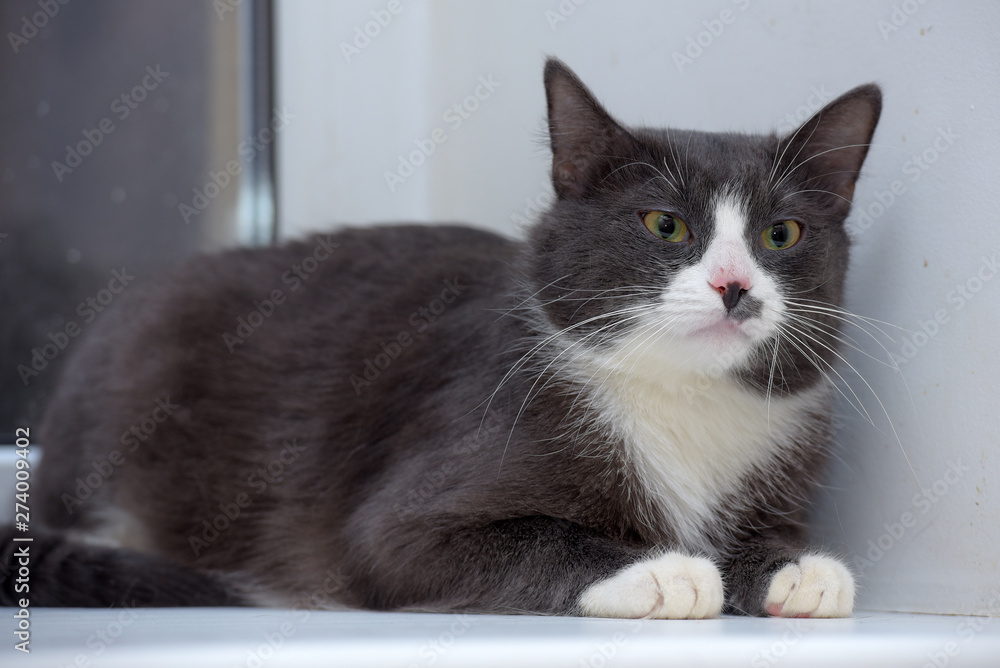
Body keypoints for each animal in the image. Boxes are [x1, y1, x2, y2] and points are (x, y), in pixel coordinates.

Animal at [0, 60, 880, 620]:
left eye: (781, 233)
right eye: (665, 224)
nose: (735, 286)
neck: (682, 394)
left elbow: (767, 535)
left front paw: (794, 568)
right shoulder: (420, 491)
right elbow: (510, 538)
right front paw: (659, 569)